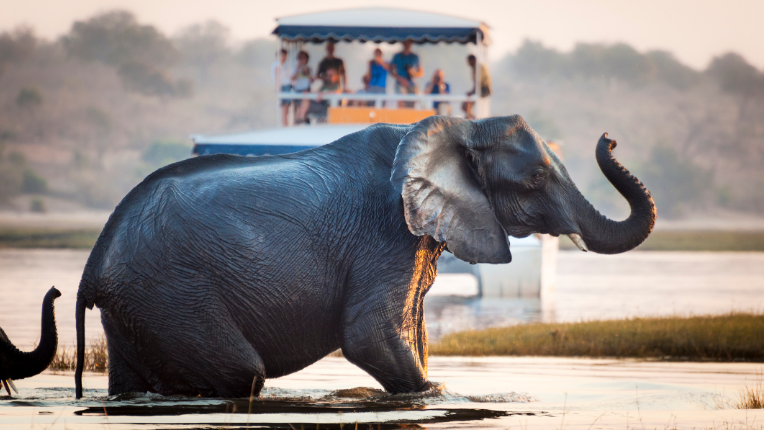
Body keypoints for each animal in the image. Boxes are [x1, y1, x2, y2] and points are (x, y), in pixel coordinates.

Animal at [74, 115, 655, 399]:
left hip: (140, 306)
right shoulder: (385, 233)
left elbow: (412, 334)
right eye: (535, 178)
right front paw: (436, 393)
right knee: (242, 372)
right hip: (172, 292)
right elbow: (369, 334)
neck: (453, 129)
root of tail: (93, 267)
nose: (610, 138)